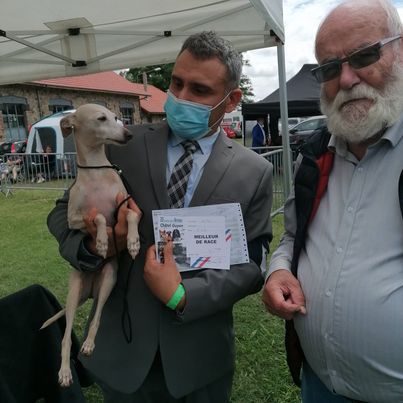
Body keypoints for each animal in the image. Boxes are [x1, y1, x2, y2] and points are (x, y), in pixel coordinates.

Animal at [40, 104, 141, 388]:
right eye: (101, 118)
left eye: (117, 117)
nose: (129, 135)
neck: (97, 172)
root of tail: (91, 288)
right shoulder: (75, 218)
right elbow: (97, 218)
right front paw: (103, 240)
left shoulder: (126, 205)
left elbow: (130, 216)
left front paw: (132, 242)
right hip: (74, 291)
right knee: (65, 338)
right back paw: (65, 372)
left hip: (108, 279)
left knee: (96, 318)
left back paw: (88, 345)